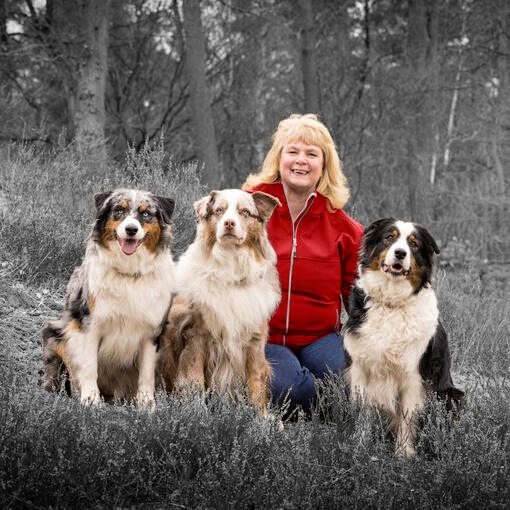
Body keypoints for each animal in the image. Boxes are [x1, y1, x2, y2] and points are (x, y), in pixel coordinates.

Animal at [40, 189, 175, 408]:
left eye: (146, 213)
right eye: (119, 210)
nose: (131, 229)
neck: (129, 273)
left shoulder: (152, 331)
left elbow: (146, 374)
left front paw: (147, 406)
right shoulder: (89, 326)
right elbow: (89, 367)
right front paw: (90, 399)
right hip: (55, 332)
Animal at [157, 189, 280, 416]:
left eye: (245, 212)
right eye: (219, 210)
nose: (229, 223)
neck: (230, 272)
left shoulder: (254, 342)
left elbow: (256, 383)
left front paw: (262, 418)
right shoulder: (196, 336)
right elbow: (194, 381)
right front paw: (196, 412)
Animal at [344, 217, 464, 456]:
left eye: (414, 244)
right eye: (389, 237)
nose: (400, 253)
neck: (392, 303)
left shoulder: (414, 377)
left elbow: (408, 419)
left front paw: (404, 454)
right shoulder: (360, 368)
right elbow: (362, 411)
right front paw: (359, 446)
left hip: (452, 396)